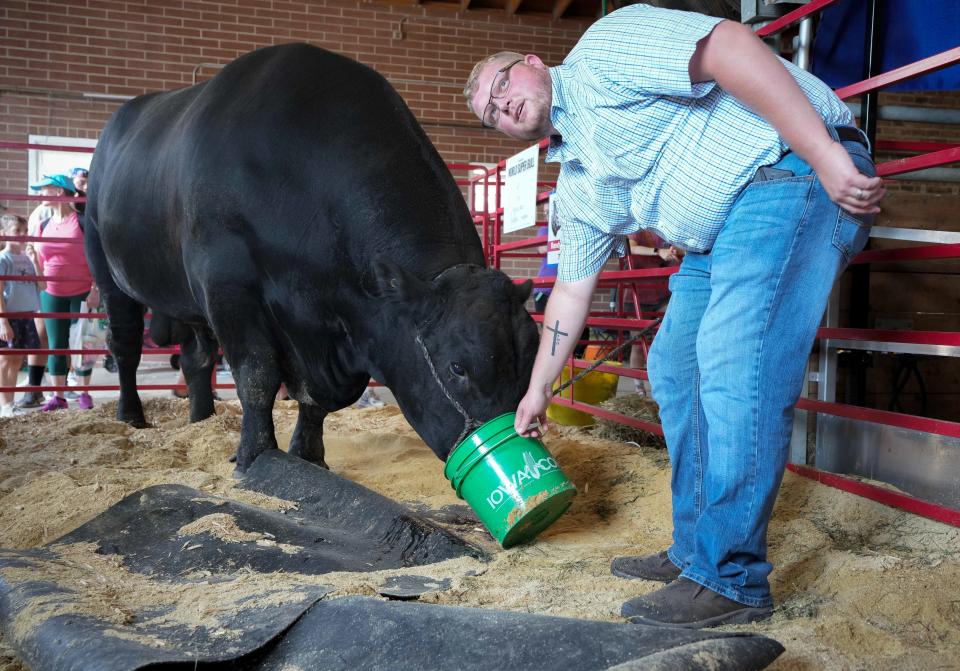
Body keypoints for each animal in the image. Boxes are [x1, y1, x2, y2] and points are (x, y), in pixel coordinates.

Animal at [86, 43, 540, 472]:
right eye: (457, 367)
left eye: (532, 361)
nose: (514, 438)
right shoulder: (227, 287)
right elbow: (257, 376)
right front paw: (254, 455)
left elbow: (316, 401)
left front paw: (308, 454)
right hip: (107, 271)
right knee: (125, 345)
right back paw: (131, 415)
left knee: (195, 356)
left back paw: (202, 417)